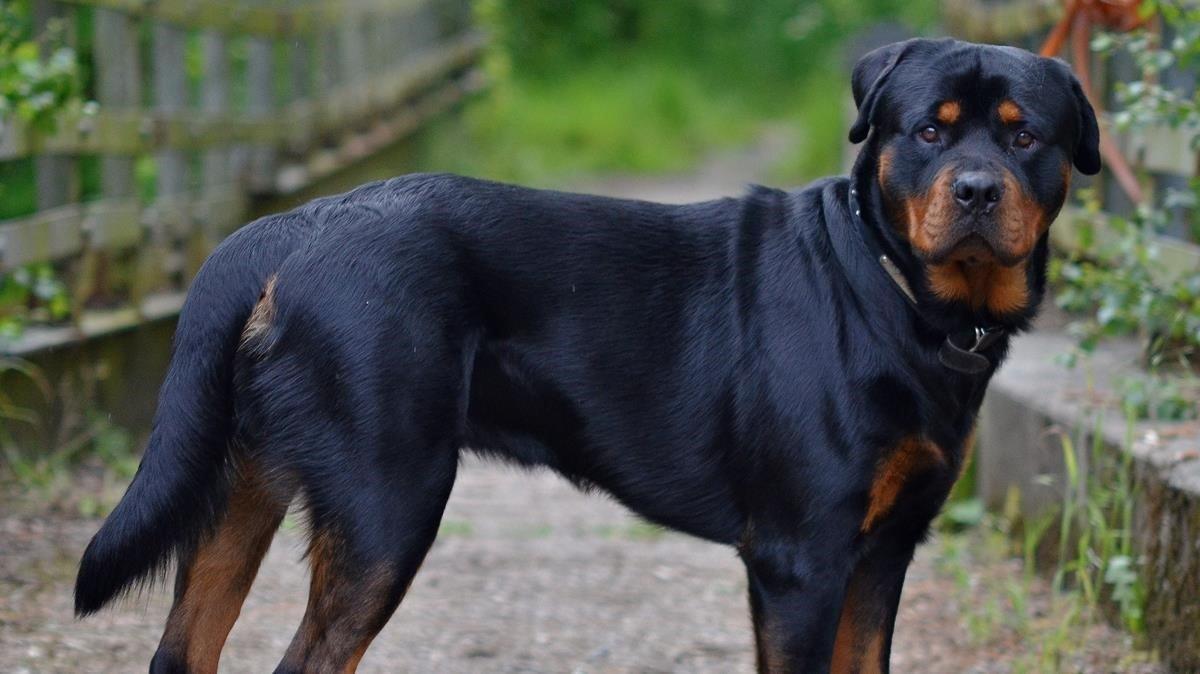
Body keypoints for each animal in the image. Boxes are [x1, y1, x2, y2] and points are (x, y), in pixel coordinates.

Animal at [77, 38, 1099, 671]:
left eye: (1024, 135)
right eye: (928, 129)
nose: (975, 190)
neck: (897, 294)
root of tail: (286, 229)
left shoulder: (883, 551)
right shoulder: (800, 558)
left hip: (243, 482)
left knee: (185, 648)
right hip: (386, 502)